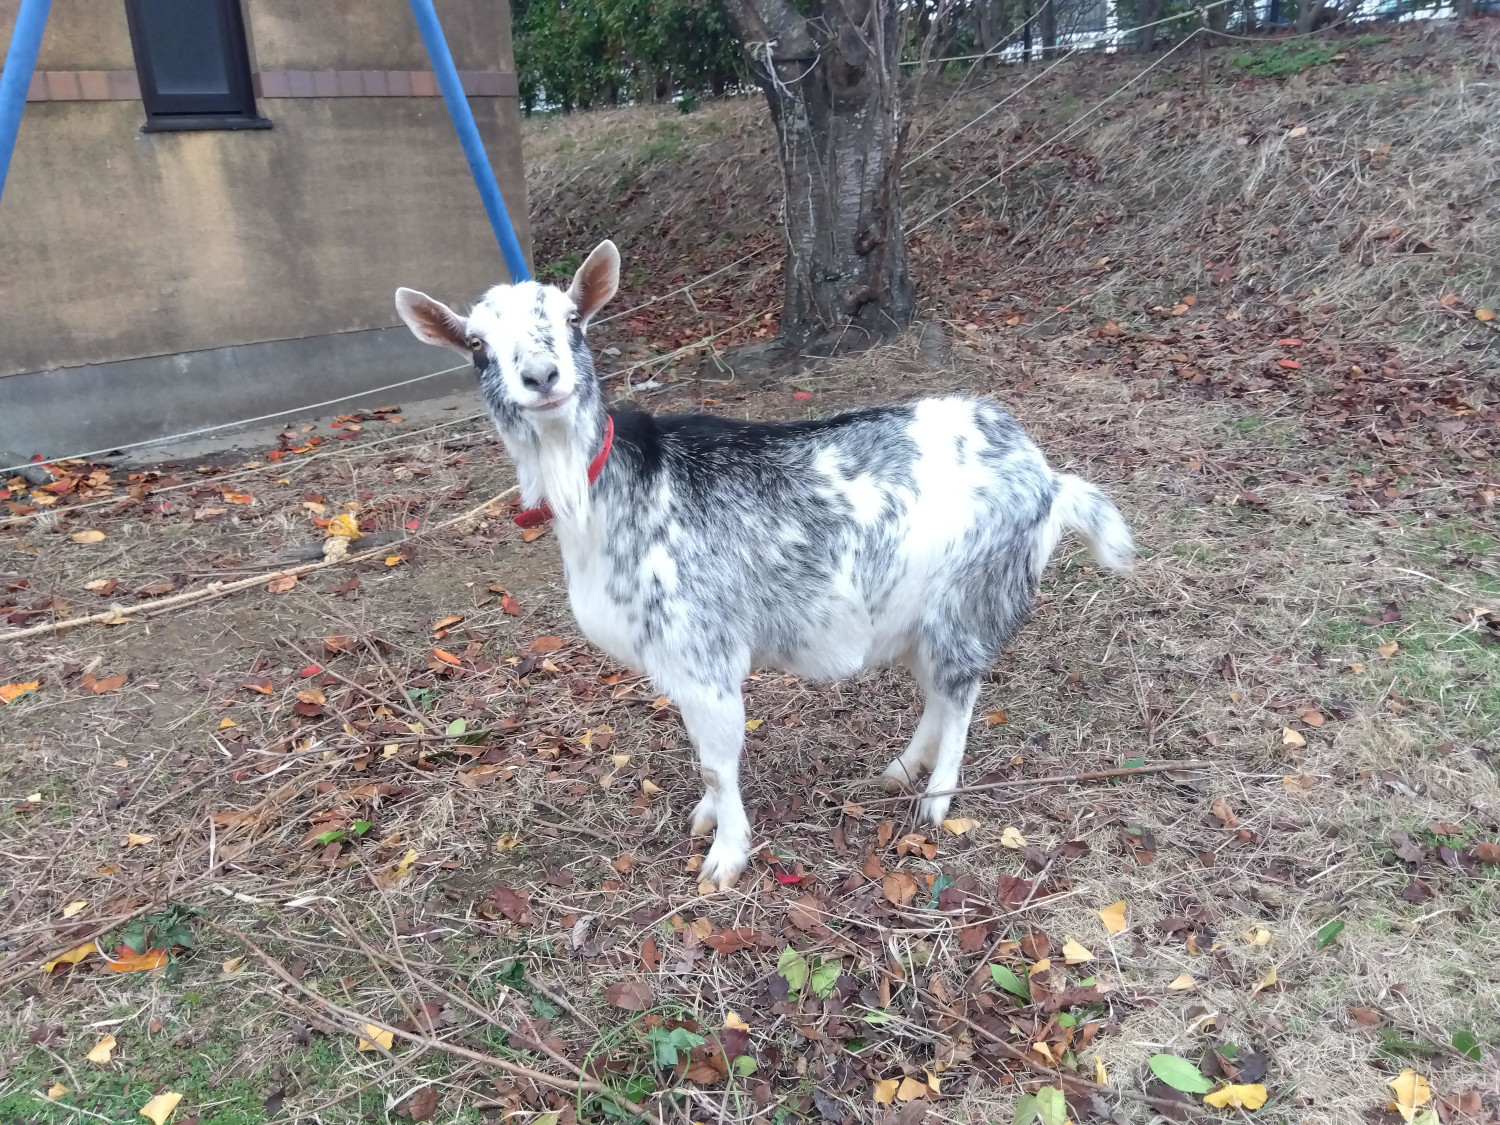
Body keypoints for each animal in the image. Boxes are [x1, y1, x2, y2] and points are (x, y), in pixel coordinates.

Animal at [393, 243, 1128, 894]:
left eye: (574, 318)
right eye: (476, 345)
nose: (542, 376)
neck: (608, 494)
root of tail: (1045, 474)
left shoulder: (705, 653)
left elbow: (719, 762)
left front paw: (725, 857)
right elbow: (705, 762)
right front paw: (707, 820)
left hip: (971, 597)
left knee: (964, 692)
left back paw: (937, 798)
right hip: (915, 614)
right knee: (938, 692)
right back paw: (900, 767)